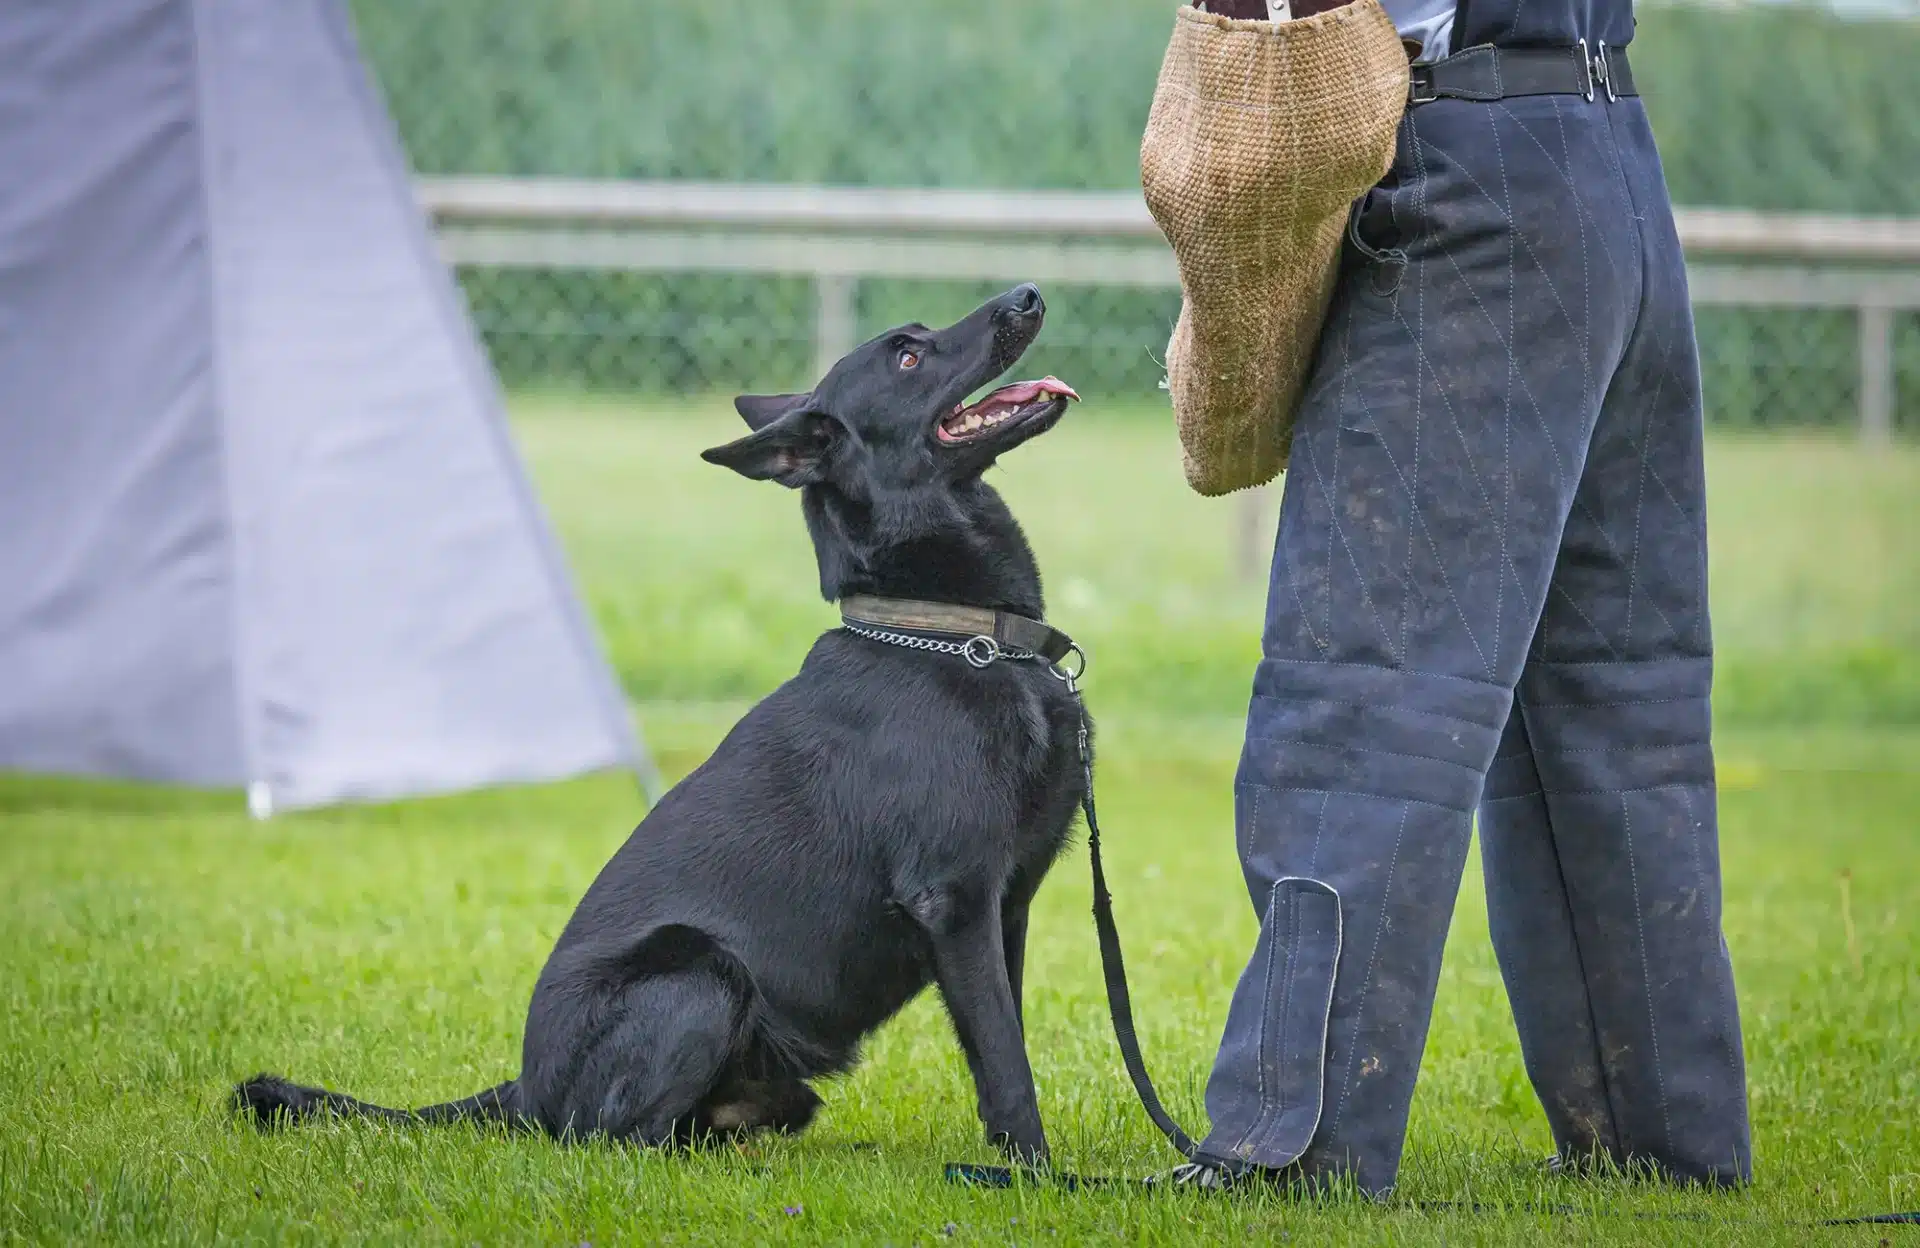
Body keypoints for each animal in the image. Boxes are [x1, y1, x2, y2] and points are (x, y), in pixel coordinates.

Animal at [228, 286, 1082, 1159]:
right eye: (909, 356)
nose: (1025, 296)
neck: (955, 634)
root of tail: (524, 1093)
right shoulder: (955, 900)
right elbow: (1006, 1062)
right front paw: (1035, 1174)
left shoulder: (1003, 908)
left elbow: (1002, 1041)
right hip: (699, 971)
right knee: (616, 1140)